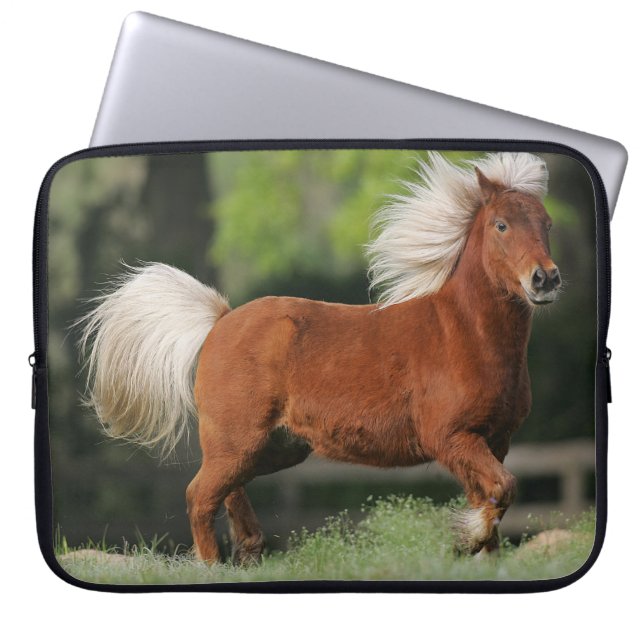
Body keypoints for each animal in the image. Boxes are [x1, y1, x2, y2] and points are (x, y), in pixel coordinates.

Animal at [78, 151, 561, 564]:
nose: (545, 279)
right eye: (501, 225)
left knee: (226, 490)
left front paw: (482, 556)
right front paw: (466, 539)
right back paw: (214, 566)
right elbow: (503, 489)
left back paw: (250, 549)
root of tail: (220, 320)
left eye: (548, 224)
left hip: (273, 448)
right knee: (200, 496)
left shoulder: (494, 440)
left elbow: (494, 495)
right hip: (238, 441)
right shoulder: (451, 438)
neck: (462, 335)